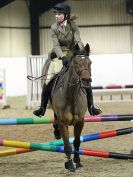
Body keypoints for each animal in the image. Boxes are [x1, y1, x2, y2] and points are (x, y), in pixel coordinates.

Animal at [50, 42, 92, 171]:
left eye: (90, 63)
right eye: (76, 63)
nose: (86, 80)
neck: (72, 97)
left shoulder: (80, 122)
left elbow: (77, 142)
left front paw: (78, 162)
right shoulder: (63, 123)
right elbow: (67, 145)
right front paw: (69, 164)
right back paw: (56, 132)